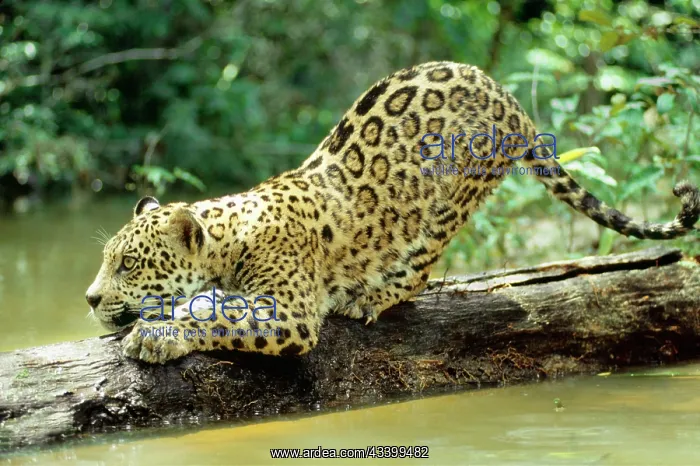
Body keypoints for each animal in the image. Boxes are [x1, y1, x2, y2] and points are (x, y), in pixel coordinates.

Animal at [86, 61, 700, 364]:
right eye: (107, 259)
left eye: (129, 264)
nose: (89, 299)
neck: (230, 235)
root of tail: (509, 98)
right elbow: (208, 302)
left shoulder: (289, 311)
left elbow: (220, 316)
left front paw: (157, 336)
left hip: (451, 198)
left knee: (422, 267)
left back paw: (370, 296)